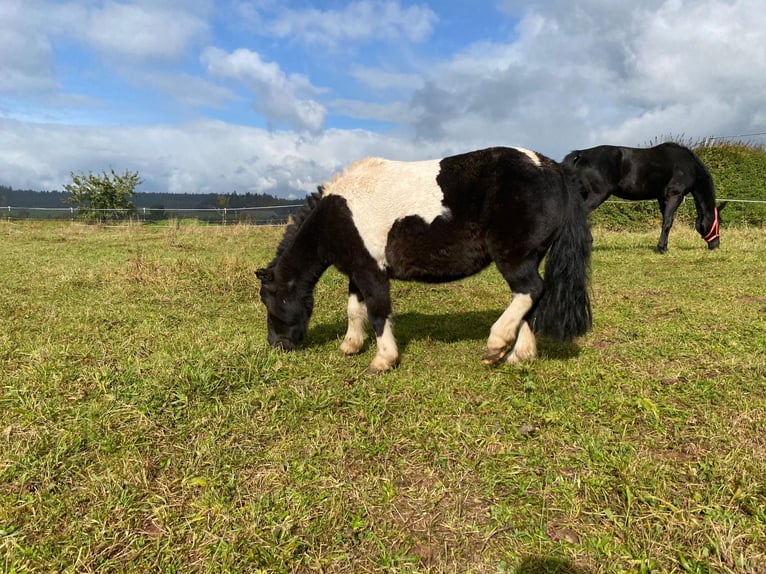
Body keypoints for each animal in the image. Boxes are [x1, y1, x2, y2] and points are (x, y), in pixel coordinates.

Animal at [258, 146, 592, 376]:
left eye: (269, 300)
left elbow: (378, 312)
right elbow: (355, 310)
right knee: (530, 301)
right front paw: (350, 345)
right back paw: (518, 355)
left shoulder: (372, 272)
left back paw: (496, 344)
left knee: (530, 291)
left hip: (514, 257)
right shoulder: (357, 270)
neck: (337, 215)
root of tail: (551, 168)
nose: (277, 345)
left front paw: (382, 360)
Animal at [564, 143, 728, 253]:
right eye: (718, 221)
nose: (716, 245)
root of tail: (582, 154)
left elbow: (665, 220)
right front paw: (662, 249)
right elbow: (668, 222)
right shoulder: (675, 195)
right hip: (597, 195)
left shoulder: (662, 198)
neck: (689, 166)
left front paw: (664, 246)